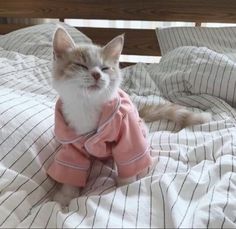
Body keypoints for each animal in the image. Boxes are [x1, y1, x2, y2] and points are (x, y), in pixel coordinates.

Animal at [48, 26, 211, 207]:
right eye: (81, 65)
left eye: (105, 68)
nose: (97, 74)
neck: (87, 106)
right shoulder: (70, 141)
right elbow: (72, 166)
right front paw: (66, 194)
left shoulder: (127, 128)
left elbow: (129, 156)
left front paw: (125, 188)